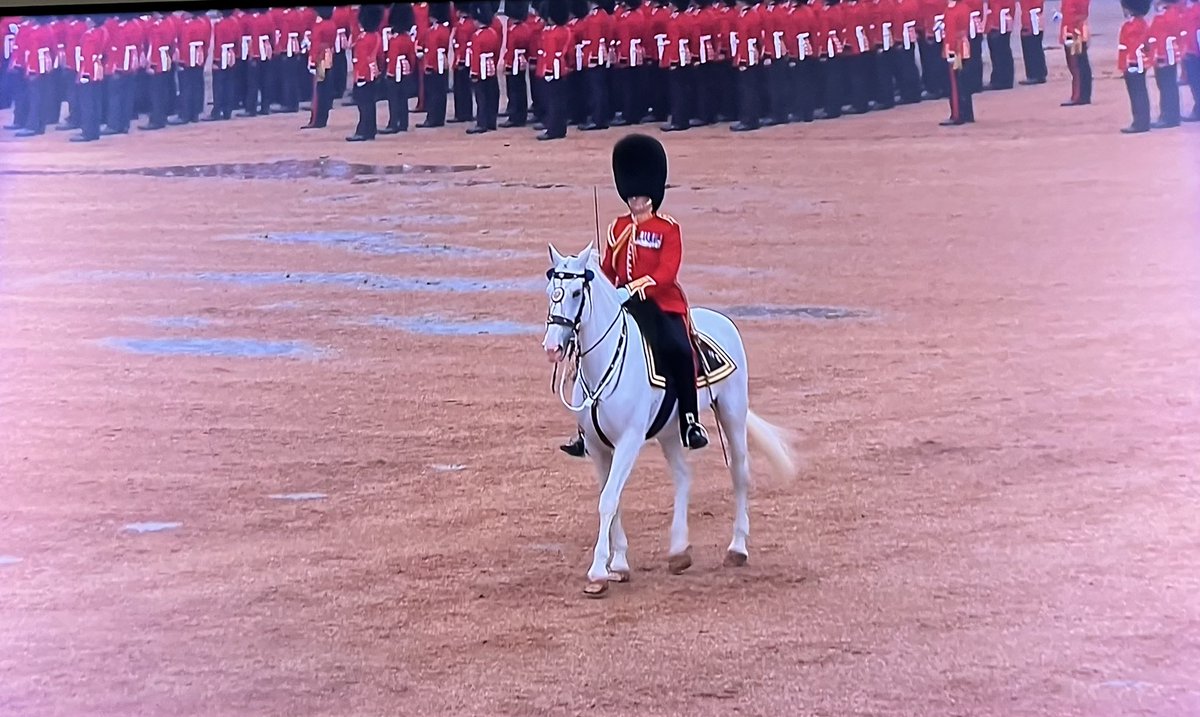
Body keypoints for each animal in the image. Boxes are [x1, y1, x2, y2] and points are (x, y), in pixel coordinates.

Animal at [542, 242, 798, 597]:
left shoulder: (629, 441)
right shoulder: (597, 448)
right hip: (669, 431)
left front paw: (598, 573)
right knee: (683, 476)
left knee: (740, 474)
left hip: (732, 413)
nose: (552, 347)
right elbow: (613, 499)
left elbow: (608, 501)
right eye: (551, 291)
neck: (607, 360)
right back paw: (679, 551)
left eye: (577, 292)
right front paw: (619, 564)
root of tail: (721, 320)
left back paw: (737, 548)